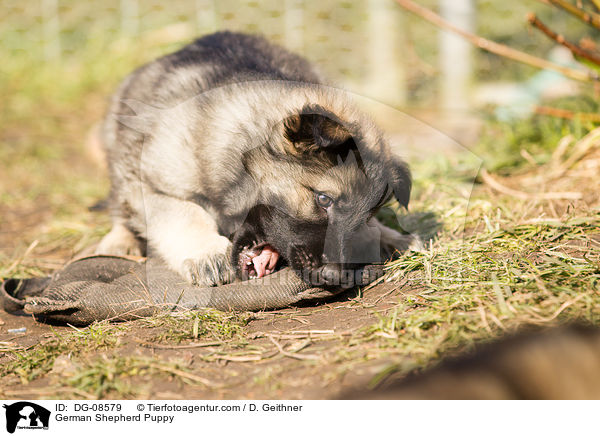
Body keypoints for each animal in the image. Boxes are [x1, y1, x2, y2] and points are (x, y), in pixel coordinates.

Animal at [97, 31, 418, 290]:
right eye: (323, 199)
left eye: (366, 216)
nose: (334, 276)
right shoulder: (143, 180)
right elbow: (183, 212)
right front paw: (207, 252)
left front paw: (385, 235)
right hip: (116, 148)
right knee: (119, 209)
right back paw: (119, 242)